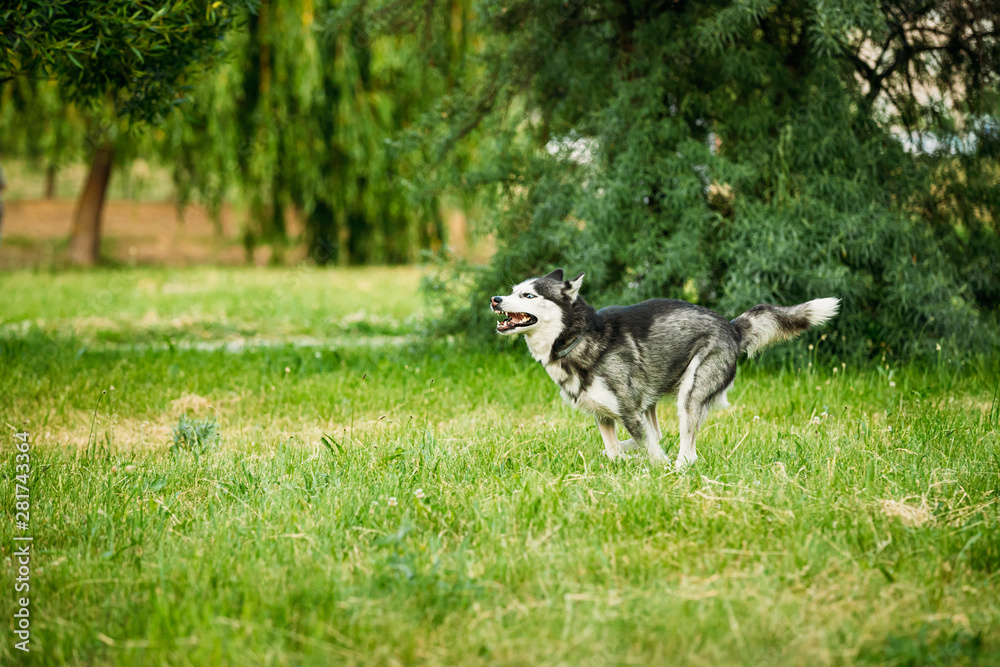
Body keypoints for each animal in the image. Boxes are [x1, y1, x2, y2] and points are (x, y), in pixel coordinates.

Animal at [488, 268, 840, 472]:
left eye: (528, 295)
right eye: (513, 291)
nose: (495, 299)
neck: (579, 338)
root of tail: (731, 326)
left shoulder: (629, 412)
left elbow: (650, 448)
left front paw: (653, 464)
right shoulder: (606, 416)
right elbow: (617, 450)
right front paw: (625, 456)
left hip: (690, 394)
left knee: (687, 452)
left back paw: (677, 468)